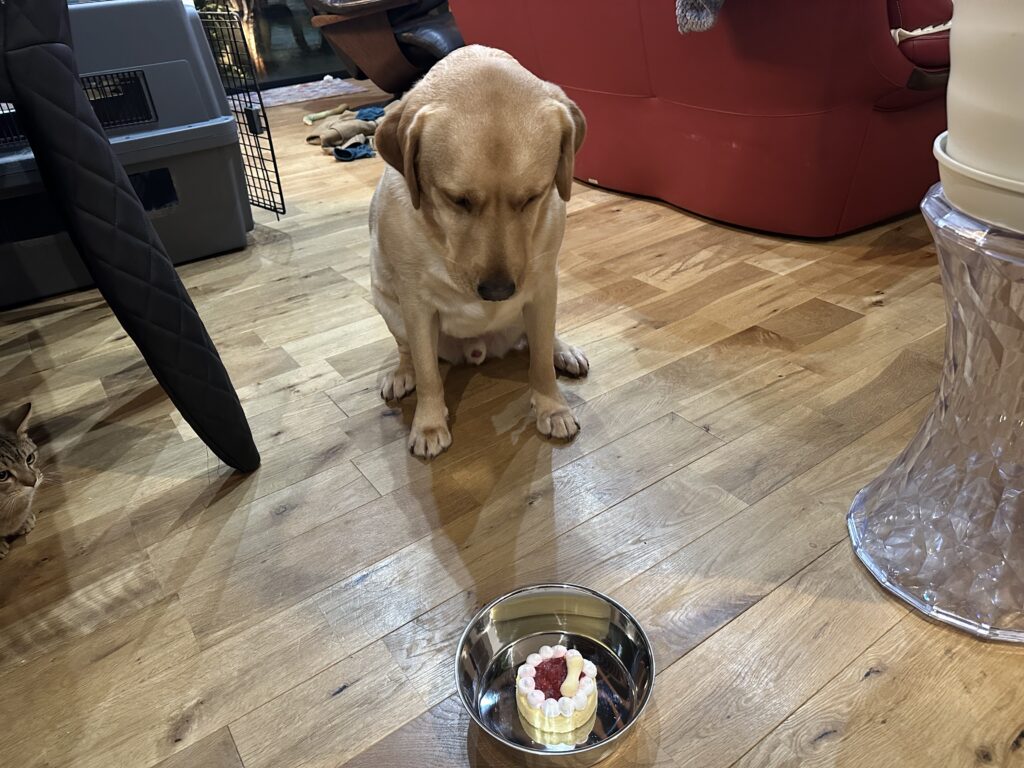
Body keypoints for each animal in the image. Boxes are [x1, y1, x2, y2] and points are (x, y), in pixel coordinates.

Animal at [369, 45, 590, 459]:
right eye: (458, 200)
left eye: (532, 197)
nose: (498, 292)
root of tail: (477, 350)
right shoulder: (415, 304)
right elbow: (428, 373)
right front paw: (429, 425)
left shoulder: (542, 286)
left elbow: (540, 365)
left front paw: (552, 407)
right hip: (386, 304)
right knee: (407, 352)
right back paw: (402, 374)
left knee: (543, 340)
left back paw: (563, 351)